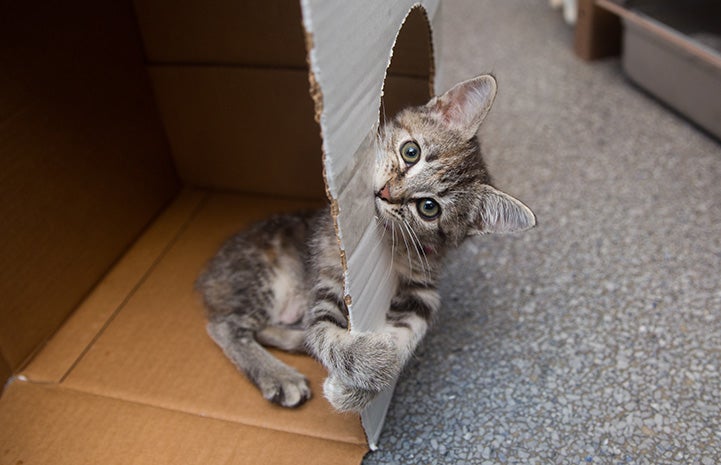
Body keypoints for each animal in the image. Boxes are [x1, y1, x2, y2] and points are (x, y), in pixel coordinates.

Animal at [197, 73, 536, 410]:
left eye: (429, 208)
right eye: (410, 152)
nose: (386, 192)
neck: (395, 243)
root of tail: (208, 272)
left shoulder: (424, 289)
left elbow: (410, 331)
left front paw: (366, 380)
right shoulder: (329, 279)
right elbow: (323, 333)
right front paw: (373, 363)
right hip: (262, 277)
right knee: (226, 326)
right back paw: (280, 376)